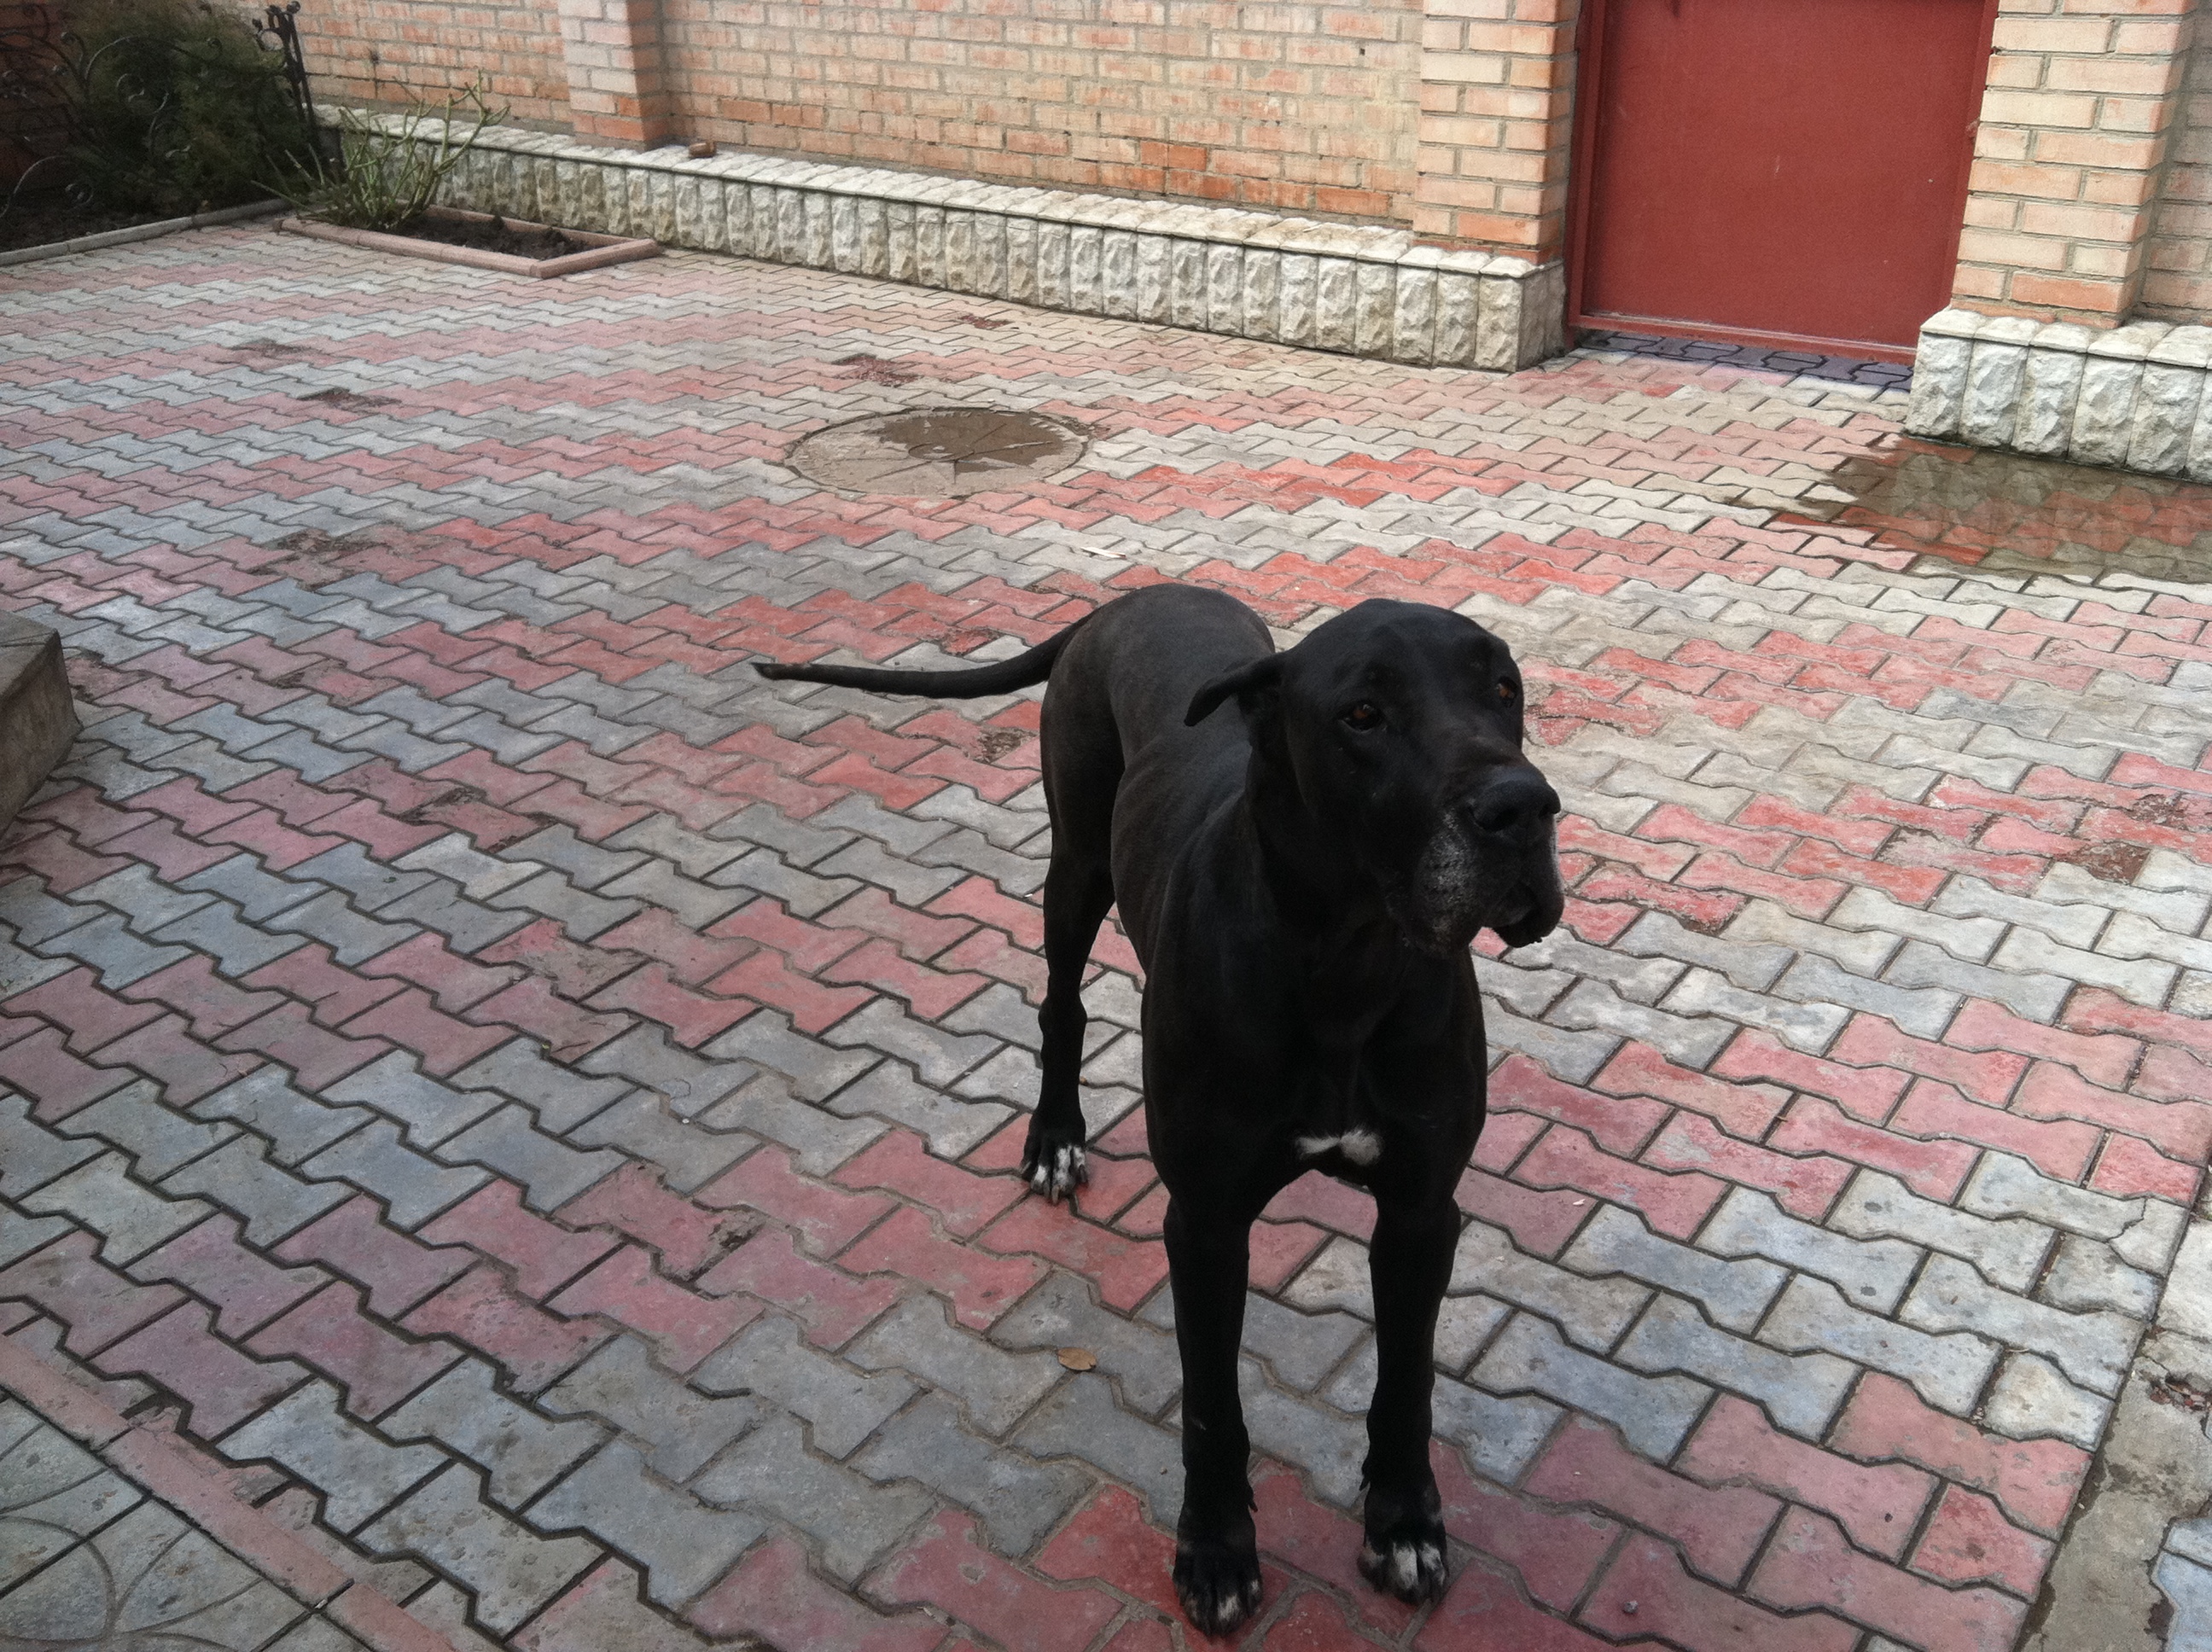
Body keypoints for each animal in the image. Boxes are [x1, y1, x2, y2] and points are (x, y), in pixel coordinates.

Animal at [758, 582, 1564, 1633]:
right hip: (1076, 861)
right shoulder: (1209, 1220)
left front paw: (1403, 1522)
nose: (1524, 807)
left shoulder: (1422, 1210)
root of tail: (1131, 596)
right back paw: (1055, 1138)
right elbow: (1213, 1402)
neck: (1344, 965)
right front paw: (1216, 1551)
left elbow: (1409, 1380)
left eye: (1504, 689)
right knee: (1060, 1002)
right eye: (1362, 714)